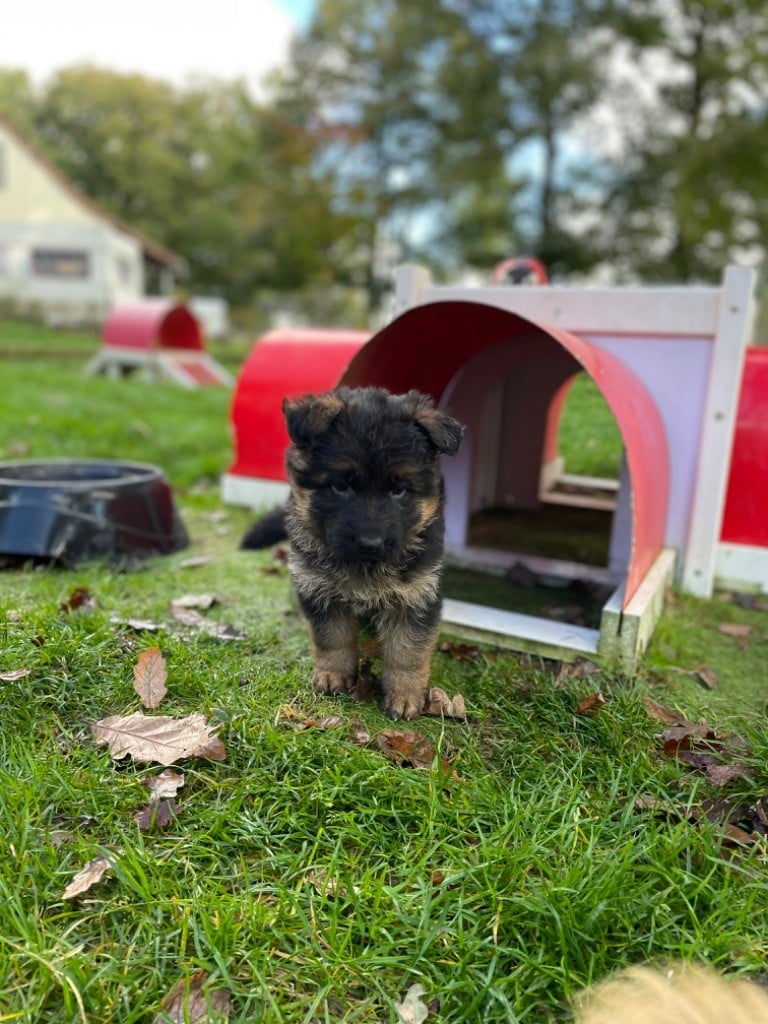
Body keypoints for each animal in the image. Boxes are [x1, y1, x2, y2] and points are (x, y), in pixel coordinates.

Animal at [244, 385, 462, 720]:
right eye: (339, 486)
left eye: (399, 489)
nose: (370, 543)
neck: (364, 567)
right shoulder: (319, 588)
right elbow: (332, 638)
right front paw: (333, 674)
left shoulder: (416, 594)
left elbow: (407, 651)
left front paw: (405, 695)